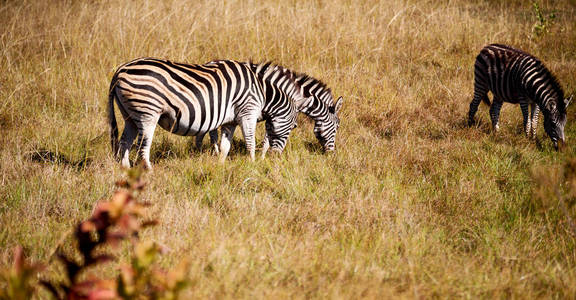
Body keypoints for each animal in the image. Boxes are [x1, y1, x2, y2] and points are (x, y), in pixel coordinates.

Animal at [108, 56, 306, 169]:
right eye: (294, 126)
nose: (276, 157)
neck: (263, 93)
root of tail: (120, 70)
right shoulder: (247, 112)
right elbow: (250, 141)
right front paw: (252, 164)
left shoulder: (230, 121)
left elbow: (226, 146)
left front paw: (220, 165)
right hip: (147, 112)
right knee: (143, 146)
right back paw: (148, 171)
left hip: (130, 115)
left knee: (124, 142)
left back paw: (126, 171)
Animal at [196, 62, 344, 154]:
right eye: (337, 127)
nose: (331, 153)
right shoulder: (275, 115)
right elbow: (268, 139)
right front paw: (264, 158)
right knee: (212, 132)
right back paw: (214, 152)